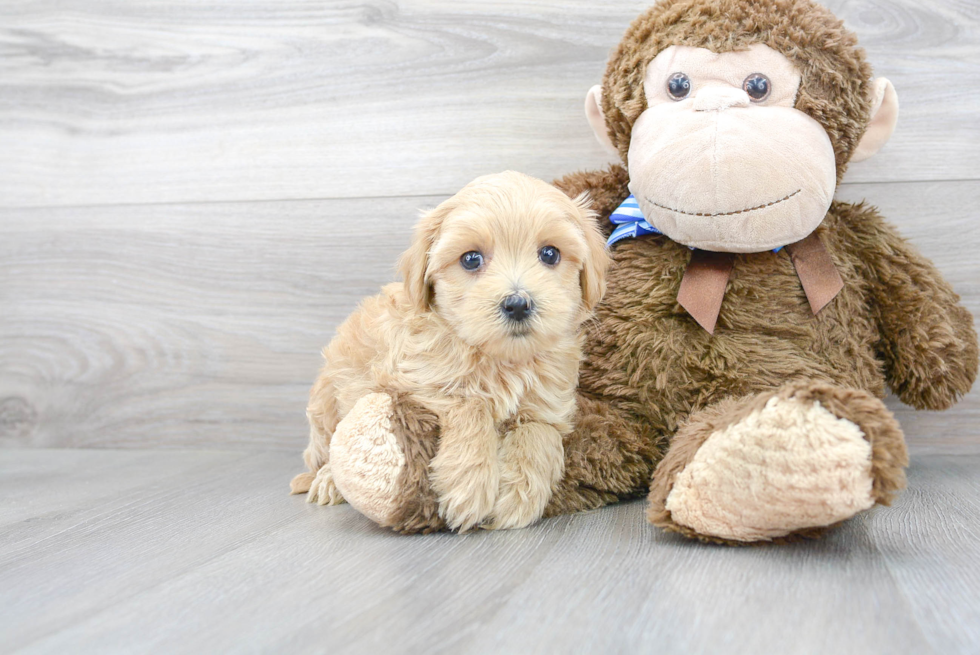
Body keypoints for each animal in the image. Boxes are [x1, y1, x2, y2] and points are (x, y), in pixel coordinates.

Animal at [290, 170, 608, 532]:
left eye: (550, 254)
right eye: (471, 259)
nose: (517, 304)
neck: (501, 359)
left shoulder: (550, 406)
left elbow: (539, 432)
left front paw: (518, 496)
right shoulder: (410, 379)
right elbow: (470, 403)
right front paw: (468, 483)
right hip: (326, 404)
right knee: (326, 452)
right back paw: (328, 480)